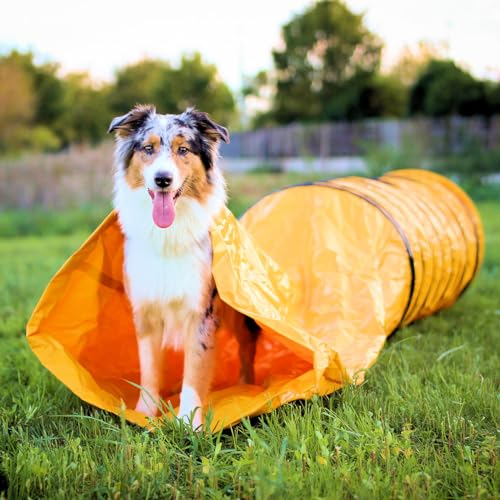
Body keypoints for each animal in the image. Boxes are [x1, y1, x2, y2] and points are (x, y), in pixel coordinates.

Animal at [108, 103, 258, 428]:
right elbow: (149, 369)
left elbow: (194, 369)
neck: (168, 235)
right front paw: (145, 414)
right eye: (148, 148)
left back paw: (247, 386)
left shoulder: (200, 312)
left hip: (237, 312)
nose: (162, 179)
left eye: (183, 150)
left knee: (248, 343)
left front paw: (189, 421)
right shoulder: (146, 311)